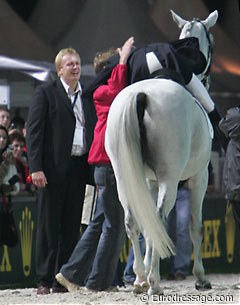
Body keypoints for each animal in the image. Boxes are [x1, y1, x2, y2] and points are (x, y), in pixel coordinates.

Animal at [106, 10, 217, 294]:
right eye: (211, 43)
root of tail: (142, 94)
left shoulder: (148, 180)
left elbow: (148, 227)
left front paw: (144, 271)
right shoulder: (199, 178)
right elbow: (195, 226)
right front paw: (201, 277)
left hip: (124, 177)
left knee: (134, 221)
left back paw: (140, 279)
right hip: (170, 177)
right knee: (159, 218)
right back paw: (154, 283)